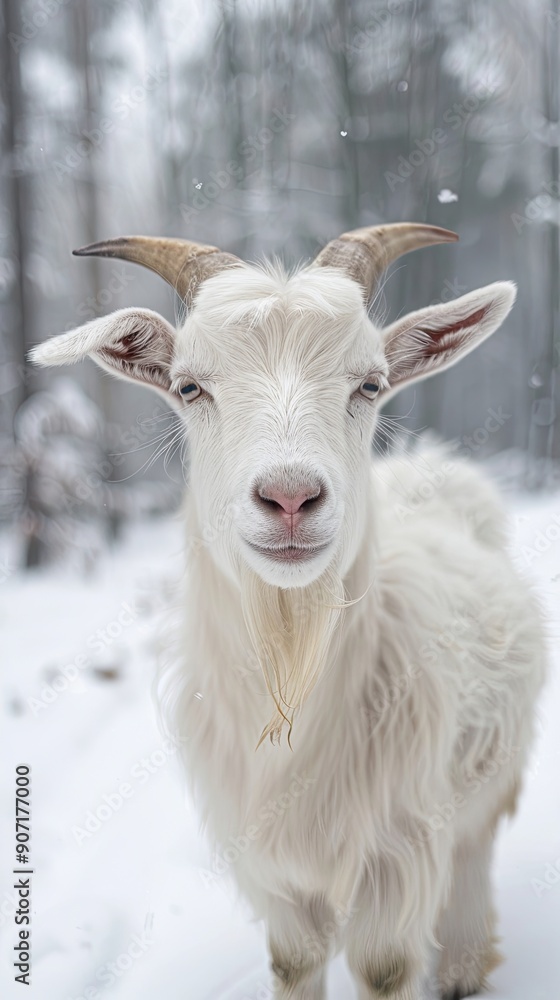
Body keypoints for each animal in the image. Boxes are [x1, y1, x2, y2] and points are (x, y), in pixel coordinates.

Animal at [31, 223, 546, 1000]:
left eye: (371, 383)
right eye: (189, 386)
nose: (291, 496)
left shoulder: (397, 855)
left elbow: (386, 966)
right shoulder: (273, 868)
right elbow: (295, 960)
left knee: (472, 853)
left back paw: (461, 967)